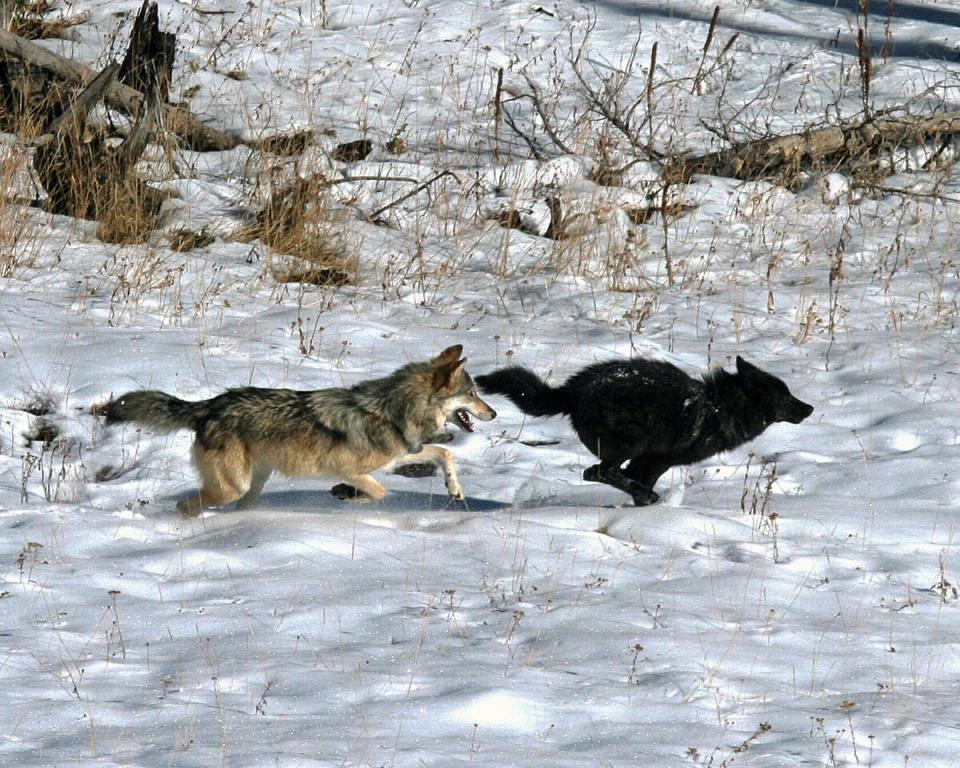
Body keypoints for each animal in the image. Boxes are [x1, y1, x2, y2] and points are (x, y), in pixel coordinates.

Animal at [99, 344, 496, 512]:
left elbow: (443, 453)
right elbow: (380, 492)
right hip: (232, 487)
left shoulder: (398, 456)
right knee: (185, 506)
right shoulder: (350, 468)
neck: (393, 410)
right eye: (473, 394)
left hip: (250, 486)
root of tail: (210, 404)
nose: (493, 412)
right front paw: (345, 495)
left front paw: (455, 490)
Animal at [476, 356, 812, 508]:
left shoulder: (646, 463)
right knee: (596, 472)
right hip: (631, 444)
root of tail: (575, 389)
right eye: (786, 396)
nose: (809, 408)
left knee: (600, 472)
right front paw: (647, 501)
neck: (722, 407)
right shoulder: (656, 460)